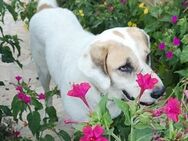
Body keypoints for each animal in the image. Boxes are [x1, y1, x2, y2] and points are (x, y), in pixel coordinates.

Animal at [29, 0, 164, 121]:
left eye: (147, 57)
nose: (160, 92)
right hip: (43, 72)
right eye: (124, 67)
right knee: (47, 95)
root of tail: (46, 8)